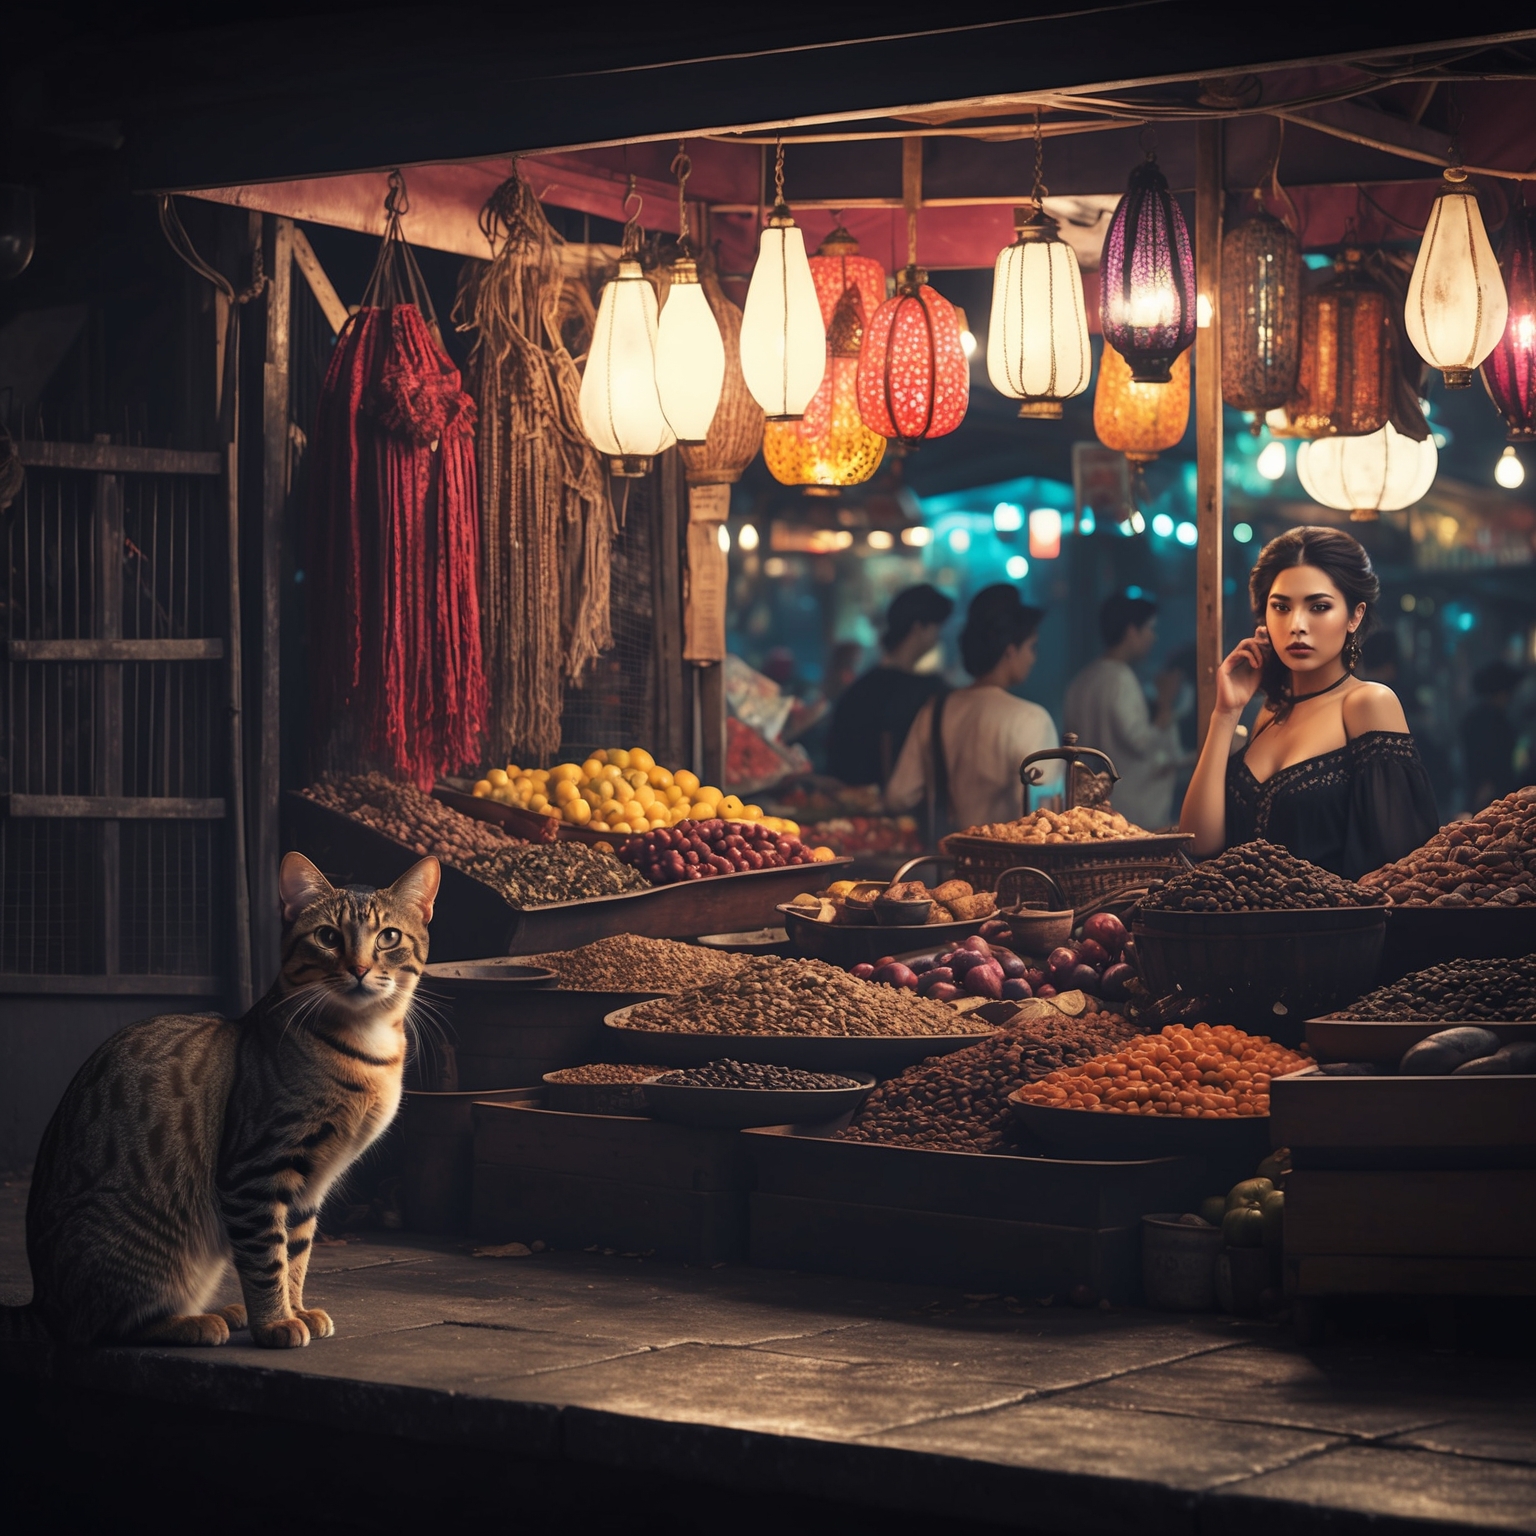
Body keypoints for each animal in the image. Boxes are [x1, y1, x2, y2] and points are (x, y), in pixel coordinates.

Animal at [6, 854, 439, 1345]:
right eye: (328, 937)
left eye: (389, 937)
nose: (360, 968)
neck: (366, 1049)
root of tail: (42, 1302)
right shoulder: (255, 1169)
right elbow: (267, 1258)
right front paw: (275, 1322)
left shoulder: (310, 1185)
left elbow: (296, 1254)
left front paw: (295, 1309)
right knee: (111, 1324)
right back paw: (201, 1321)